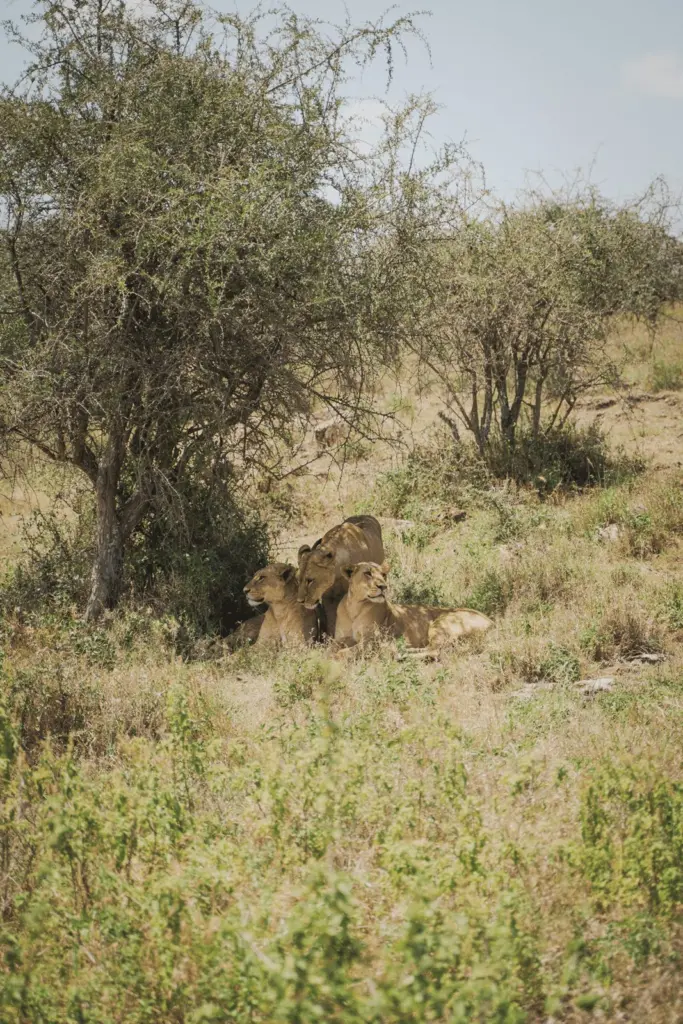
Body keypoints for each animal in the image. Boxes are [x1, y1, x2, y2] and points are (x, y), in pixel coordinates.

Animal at [333, 561, 493, 649]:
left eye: (384, 575)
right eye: (368, 573)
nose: (383, 586)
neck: (355, 607)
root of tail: (491, 622)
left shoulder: (370, 642)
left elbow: (343, 654)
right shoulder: (340, 639)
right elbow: (330, 649)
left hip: (442, 622)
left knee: (435, 650)